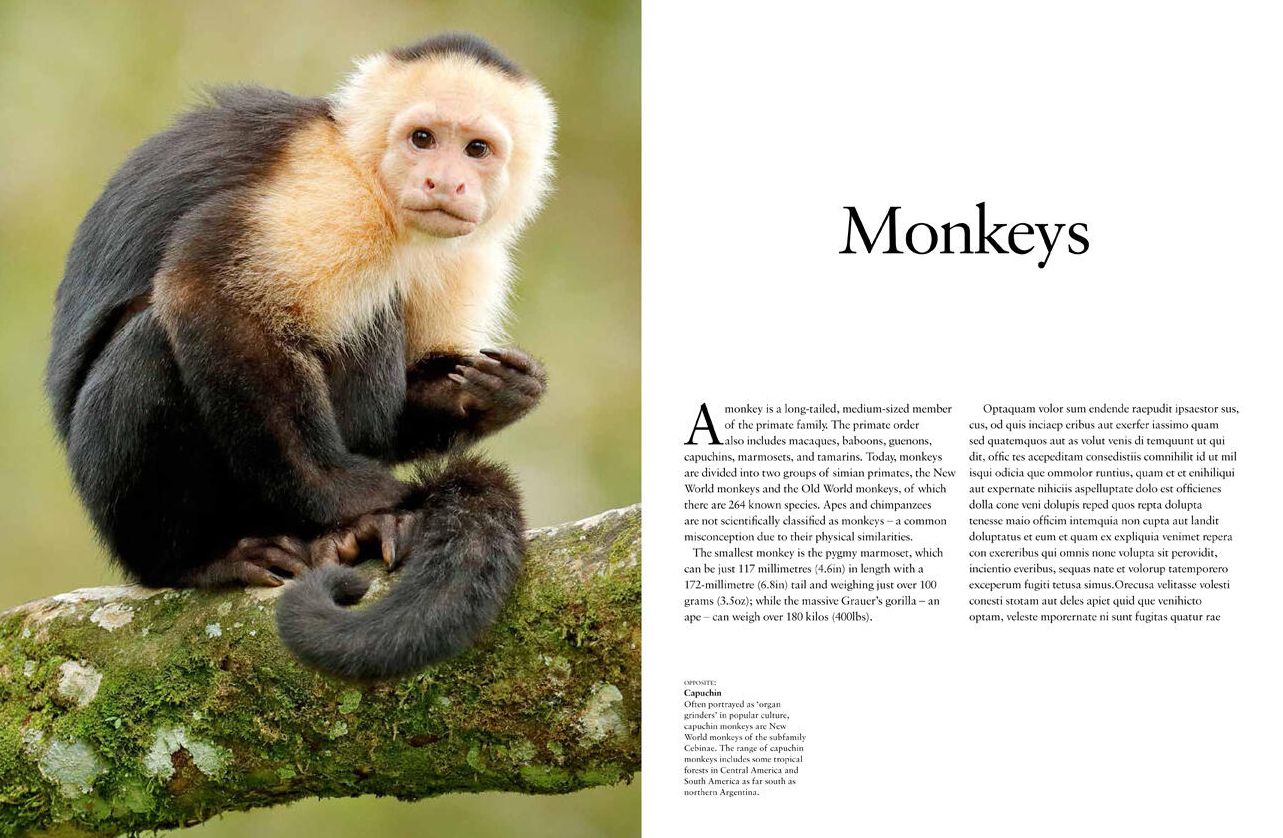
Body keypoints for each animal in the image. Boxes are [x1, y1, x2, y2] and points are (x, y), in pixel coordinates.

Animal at [44, 33, 556, 681]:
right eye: (422, 139)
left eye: (477, 149)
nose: (445, 182)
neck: (376, 187)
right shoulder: (330, 194)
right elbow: (210, 296)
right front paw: (358, 500)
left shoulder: (471, 255)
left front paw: (490, 397)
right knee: (157, 343)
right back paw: (199, 559)